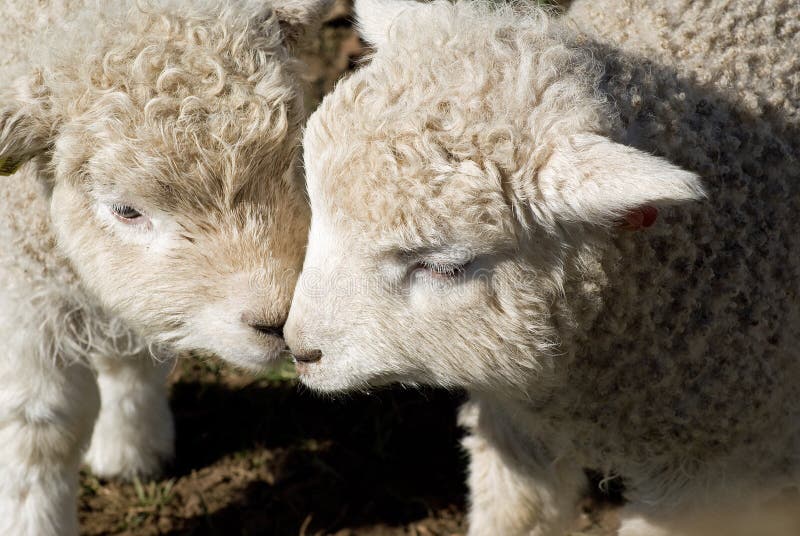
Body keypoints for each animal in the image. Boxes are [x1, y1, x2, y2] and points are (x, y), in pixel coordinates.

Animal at [0, 0, 329, 534]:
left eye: (296, 157)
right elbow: (38, 430)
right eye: (126, 210)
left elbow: (136, 351)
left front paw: (131, 446)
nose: (279, 321)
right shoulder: (22, 281)